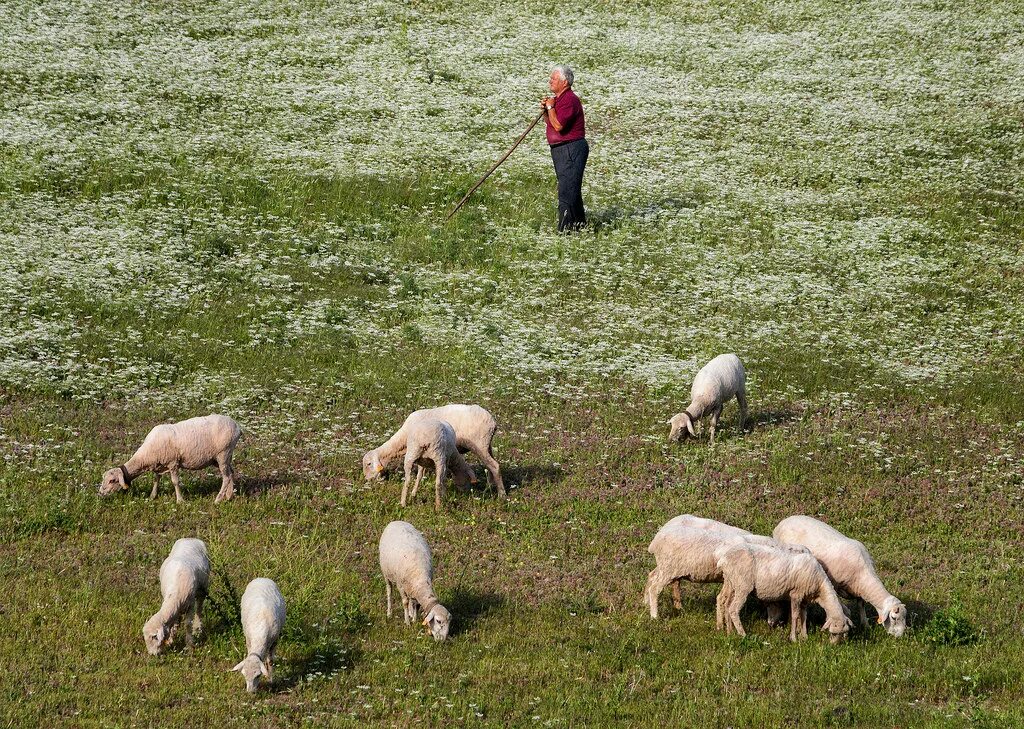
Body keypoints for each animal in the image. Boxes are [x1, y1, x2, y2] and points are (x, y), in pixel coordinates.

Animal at [99, 413, 243, 503]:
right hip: (222, 457)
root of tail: (237, 426)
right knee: (231, 473)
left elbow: (175, 482)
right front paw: (152, 496)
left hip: (223, 453)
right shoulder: (159, 464)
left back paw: (218, 499)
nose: (100, 493)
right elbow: (156, 479)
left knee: (226, 477)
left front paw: (180, 500)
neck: (145, 456)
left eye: (112, 481)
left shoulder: (173, 462)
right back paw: (229, 496)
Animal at [362, 401, 505, 497]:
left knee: (494, 466)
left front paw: (413, 493)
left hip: (479, 444)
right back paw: (490, 487)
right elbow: (422, 472)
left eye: (368, 464)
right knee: (491, 465)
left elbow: (419, 473)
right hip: (487, 446)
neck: (402, 440)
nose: (367, 480)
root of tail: (493, 422)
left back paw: (501, 495)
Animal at [716, 540, 851, 642]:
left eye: (842, 634)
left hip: (731, 582)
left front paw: (804, 636)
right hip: (742, 586)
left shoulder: (805, 598)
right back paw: (742, 634)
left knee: (727, 604)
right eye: (833, 633)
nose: (833, 646)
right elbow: (795, 615)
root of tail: (724, 559)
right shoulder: (796, 594)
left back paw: (730, 632)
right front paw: (794, 638)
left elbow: (804, 615)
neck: (820, 587)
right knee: (733, 609)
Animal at [770, 511, 909, 638]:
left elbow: (861, 605)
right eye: (894, 618)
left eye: (904, 618)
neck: (864, 574)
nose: (900, 637)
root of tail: (785, 520)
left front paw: (865, 624)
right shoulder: (834, 584)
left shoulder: (859, 588)